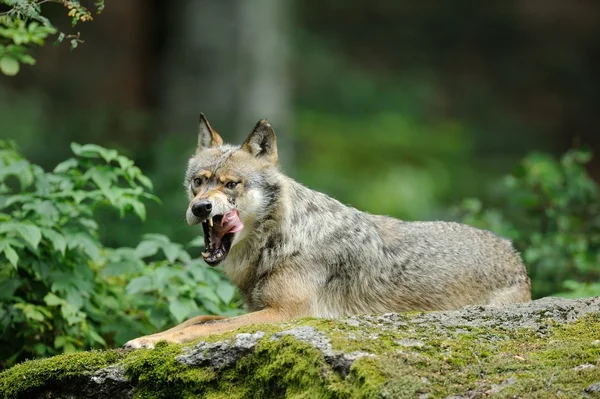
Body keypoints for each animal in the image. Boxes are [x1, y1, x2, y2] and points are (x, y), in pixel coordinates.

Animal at [125, 114, 528, 348]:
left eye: (231, 184)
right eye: (199, 182)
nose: (200, 208)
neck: (281, 239)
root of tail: (515, 255)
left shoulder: (286, 314)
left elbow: (204, 328)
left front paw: (160, 343)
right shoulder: (261, 308)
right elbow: (198, 318)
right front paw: (148, 338)